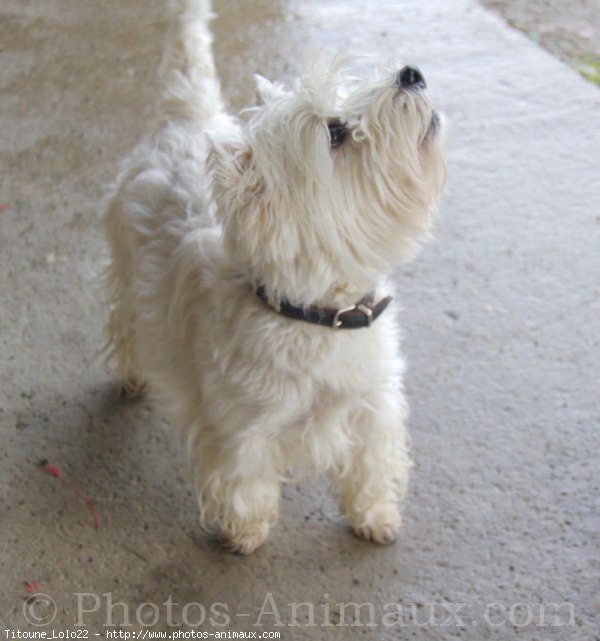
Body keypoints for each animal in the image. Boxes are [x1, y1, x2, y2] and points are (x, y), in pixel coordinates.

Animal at [101, 0, 446, 552]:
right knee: (124, 322)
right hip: (125, 267)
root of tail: (185, 120)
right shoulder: (243, 425)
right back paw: (131, 376)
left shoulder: (373, 403)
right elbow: (245, 478)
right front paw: (246, 532)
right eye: (335, 133)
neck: (321, 313)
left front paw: (375, 515)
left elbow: (371, 463)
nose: (412, 73)